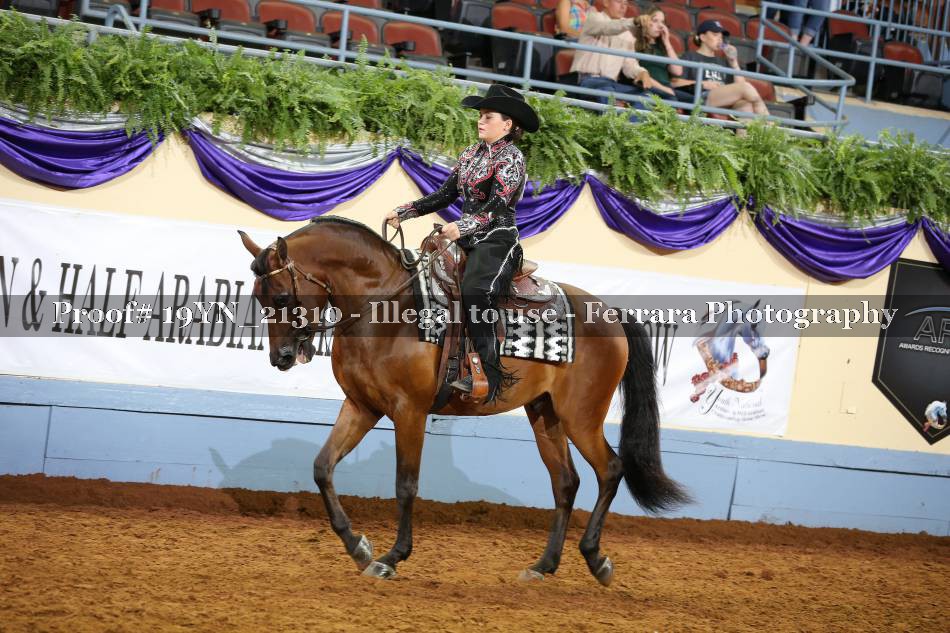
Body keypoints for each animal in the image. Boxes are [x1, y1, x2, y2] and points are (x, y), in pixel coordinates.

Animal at [238, 216, 689, 585]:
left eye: (281, 297)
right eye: (260, 299)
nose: (280, 357)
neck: (385, 307)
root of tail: (612, 313)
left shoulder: (410, 412)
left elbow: (405, 484)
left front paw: (391, 557)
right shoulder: (361, 406)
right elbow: (322, 467)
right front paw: (358, 546)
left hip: (582, 416)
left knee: (610, 470)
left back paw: (596, 559)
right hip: (545, 413)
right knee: (566, 482)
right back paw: (543, 566)